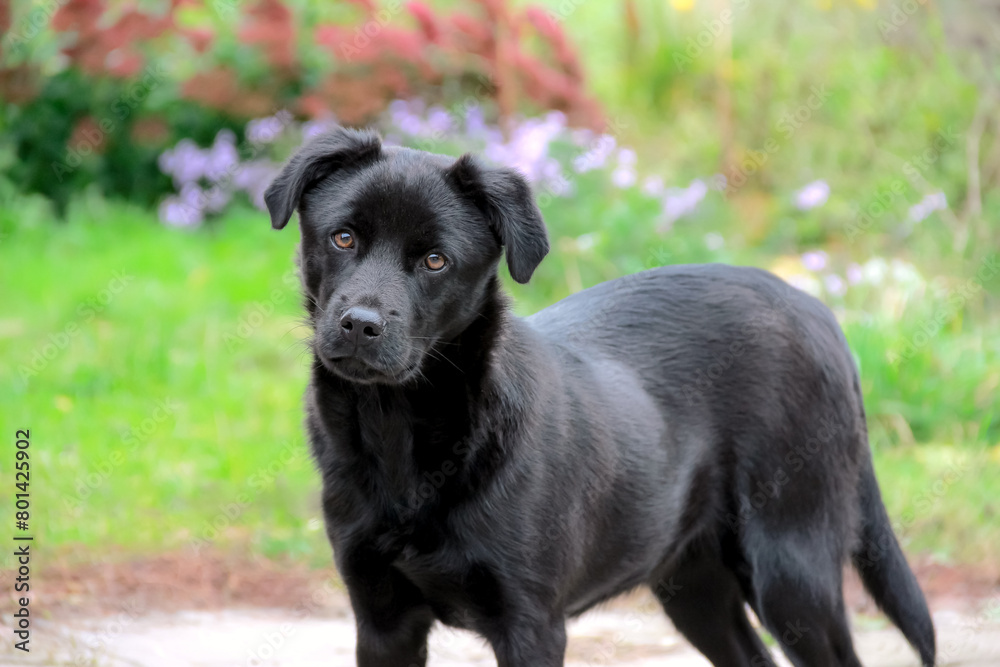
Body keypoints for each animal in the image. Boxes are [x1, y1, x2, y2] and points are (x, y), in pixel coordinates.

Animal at [262, 126, 932, 667]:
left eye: (434, 260)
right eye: (343, 238)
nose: (360, 325)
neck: (401, 435)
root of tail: (817, 310)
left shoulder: (531, 625)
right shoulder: (383, 621)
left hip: (794, 571)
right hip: (693, 581)